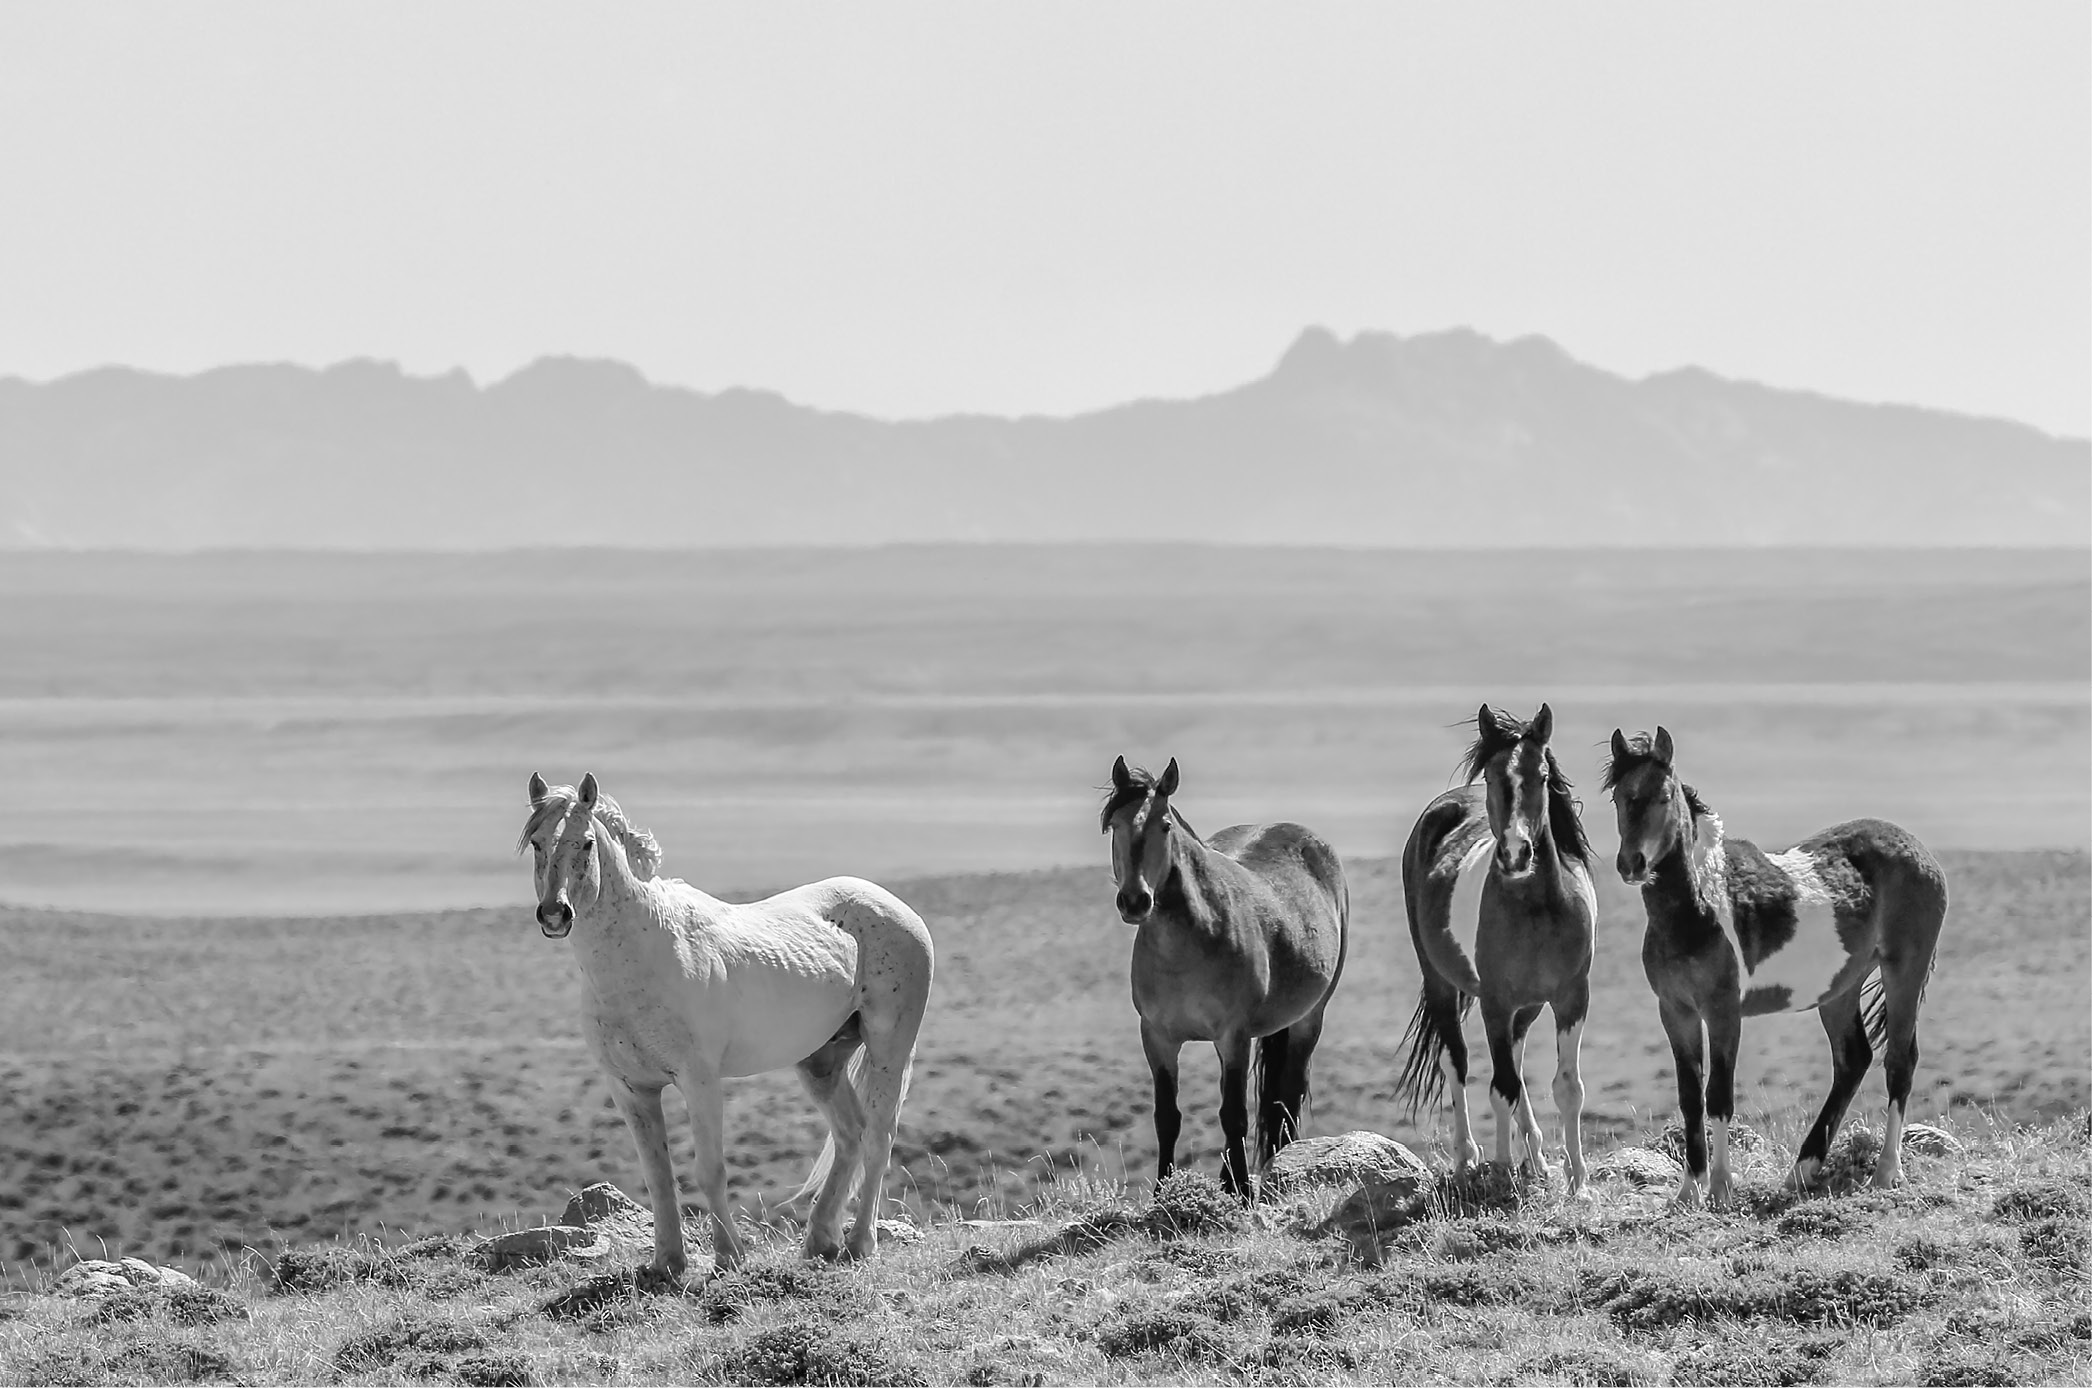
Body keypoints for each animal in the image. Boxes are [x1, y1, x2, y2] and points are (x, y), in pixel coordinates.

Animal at [518, 774, 937, 1272]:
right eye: (538, 843)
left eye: (584, 843)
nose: (554, 914)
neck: (641, 955)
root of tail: (897, 907)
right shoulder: (631, 1090)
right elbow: (657, 1174)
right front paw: (667, 1263)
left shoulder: (699, 1082)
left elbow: (709, 1170)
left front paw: (729, 1255)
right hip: (821, 1062)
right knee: (850, 1135)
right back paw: (820, 1241)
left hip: (889, 1047)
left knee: (878, 1136)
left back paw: (858, 1243)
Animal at [1104, 753, 1347, 1197]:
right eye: (1115, 826)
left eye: (1164, 825)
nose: (1135, 901)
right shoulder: (1157, 1038)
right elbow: (1168, 1116)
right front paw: (1164, 1190)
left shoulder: (1234, 1036)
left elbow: (1233, 1113)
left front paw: (1243, 1191)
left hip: (1309, 1019)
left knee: (1287, 1097)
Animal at [1397, 707, 1589, 1197]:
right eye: (1492, 775)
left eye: (1542, 775)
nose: (1517, 854)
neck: (1538, 909)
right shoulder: (1496, 1003)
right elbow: (1500, 1088)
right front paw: (1502, 1170)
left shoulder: (1571, 999)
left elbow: (1566, 1088)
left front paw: (1578, 1181)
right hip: (1442, 984)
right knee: (1457, 1062)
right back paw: (1469, 1157)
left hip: (1528, 1007)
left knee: (1516, 1067)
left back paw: (1536, 1159)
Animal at [1598, 728, 1958, 1205]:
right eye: (1620, 796)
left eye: (1663, 795)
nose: (1632, 864)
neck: (1698, 907)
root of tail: (1919, 850)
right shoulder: (1676, 1011)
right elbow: (1690, 1096)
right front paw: (1689, 1190)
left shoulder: (1723, 1011)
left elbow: (1718, 1095)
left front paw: (1720, 1187)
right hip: (1840, 989)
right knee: (1853, 1060)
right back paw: (1802, 1171)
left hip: (1904, 971)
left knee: (1900, 1060)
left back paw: (1885, 1172)